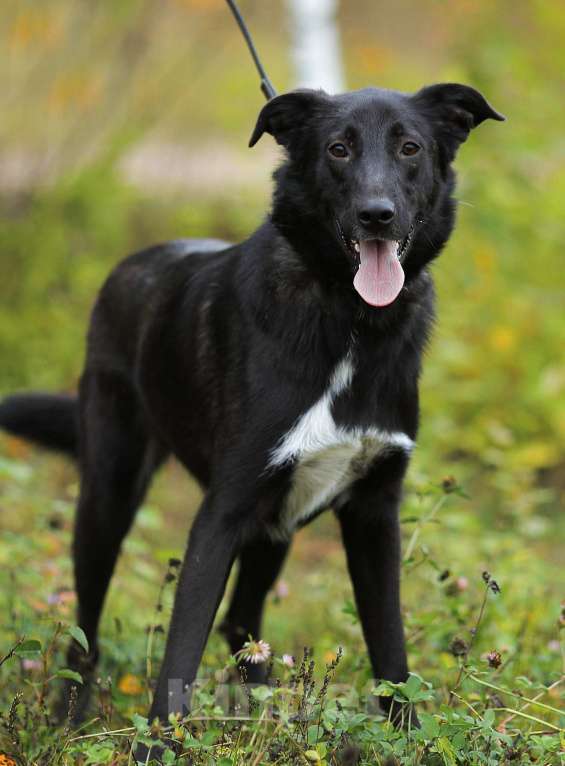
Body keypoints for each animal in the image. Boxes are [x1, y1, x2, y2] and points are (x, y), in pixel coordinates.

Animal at [0, 84, 502, 744]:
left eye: (410, 147)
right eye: (338, 149)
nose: (377, 214)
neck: (348, 320)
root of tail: (132, 263)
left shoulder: (373, 513)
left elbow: (391, 651)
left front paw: (408, 738)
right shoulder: (222, 512)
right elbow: (179, 659)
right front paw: (157, 748)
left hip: (275, 524)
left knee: (241, 622)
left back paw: (263, 717)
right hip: (110, 493)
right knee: (86, 624)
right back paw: (69, 717)